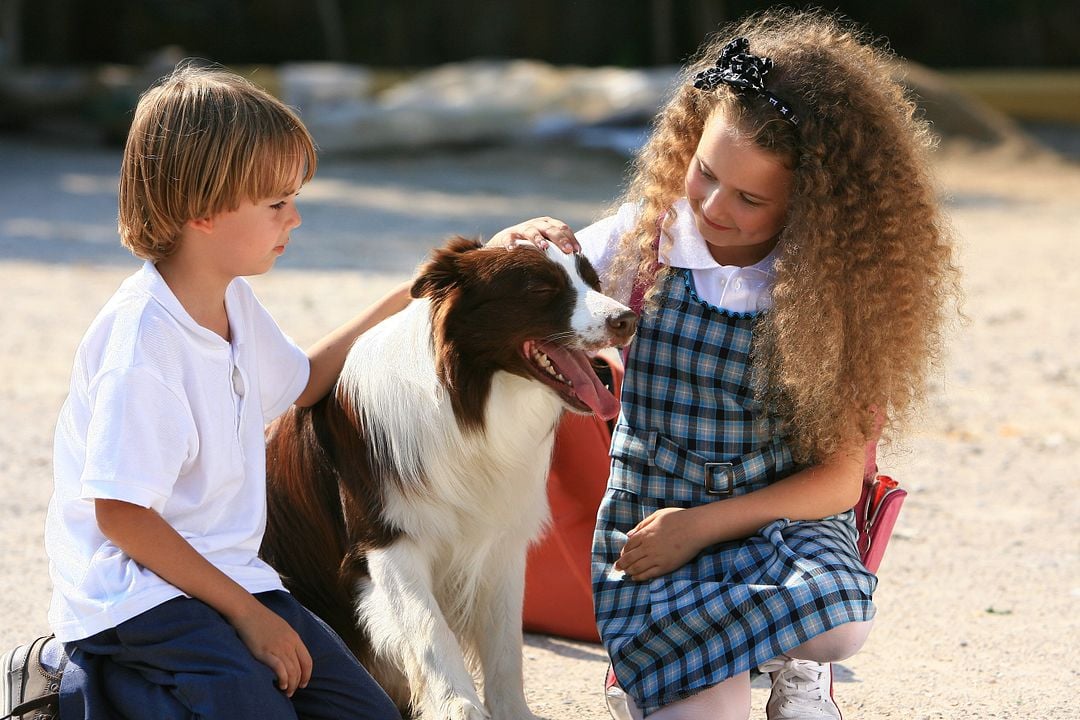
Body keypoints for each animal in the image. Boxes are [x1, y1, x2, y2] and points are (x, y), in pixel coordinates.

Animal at [260, 237, 630, 720]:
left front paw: (513, 712)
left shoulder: (502, 541)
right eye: (539, 287)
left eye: (592, 280)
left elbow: (505, 644)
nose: (628, 320)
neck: (465, 404)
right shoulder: (385, 541)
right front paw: (459, 707)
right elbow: (430, 629)